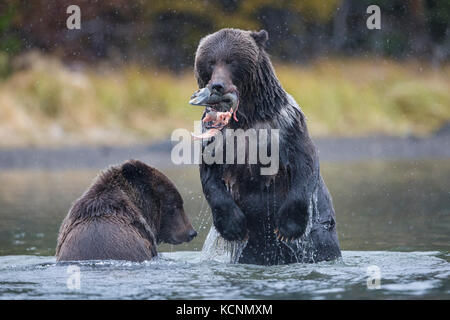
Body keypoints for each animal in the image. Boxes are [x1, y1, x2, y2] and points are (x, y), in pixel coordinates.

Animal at [191, 28, 342, 264]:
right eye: (210, 62)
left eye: (232, 60)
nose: (217, 86)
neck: (246, 118)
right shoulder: (216, 138)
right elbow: (210, 176)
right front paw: (234, 227)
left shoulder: (287, 127)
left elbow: (305, 164)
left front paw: (288, 228)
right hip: (252, 249)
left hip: (320, 232)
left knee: (323, 246)